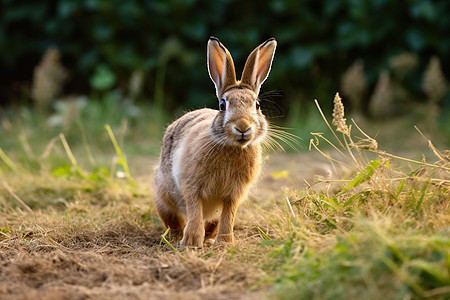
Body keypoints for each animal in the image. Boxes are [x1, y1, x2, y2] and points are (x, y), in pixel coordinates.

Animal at [153, 36, 276, 247]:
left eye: (257, 105)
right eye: (222, 105)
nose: (242, 127)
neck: (231, 147)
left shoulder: (233, 194)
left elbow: (228, 215)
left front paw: (225, 243)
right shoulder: (191, 185)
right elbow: (194, 209)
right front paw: (191, 242)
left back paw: (210, 239)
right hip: (163, 196)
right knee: (173, 219)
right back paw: (176, 237)